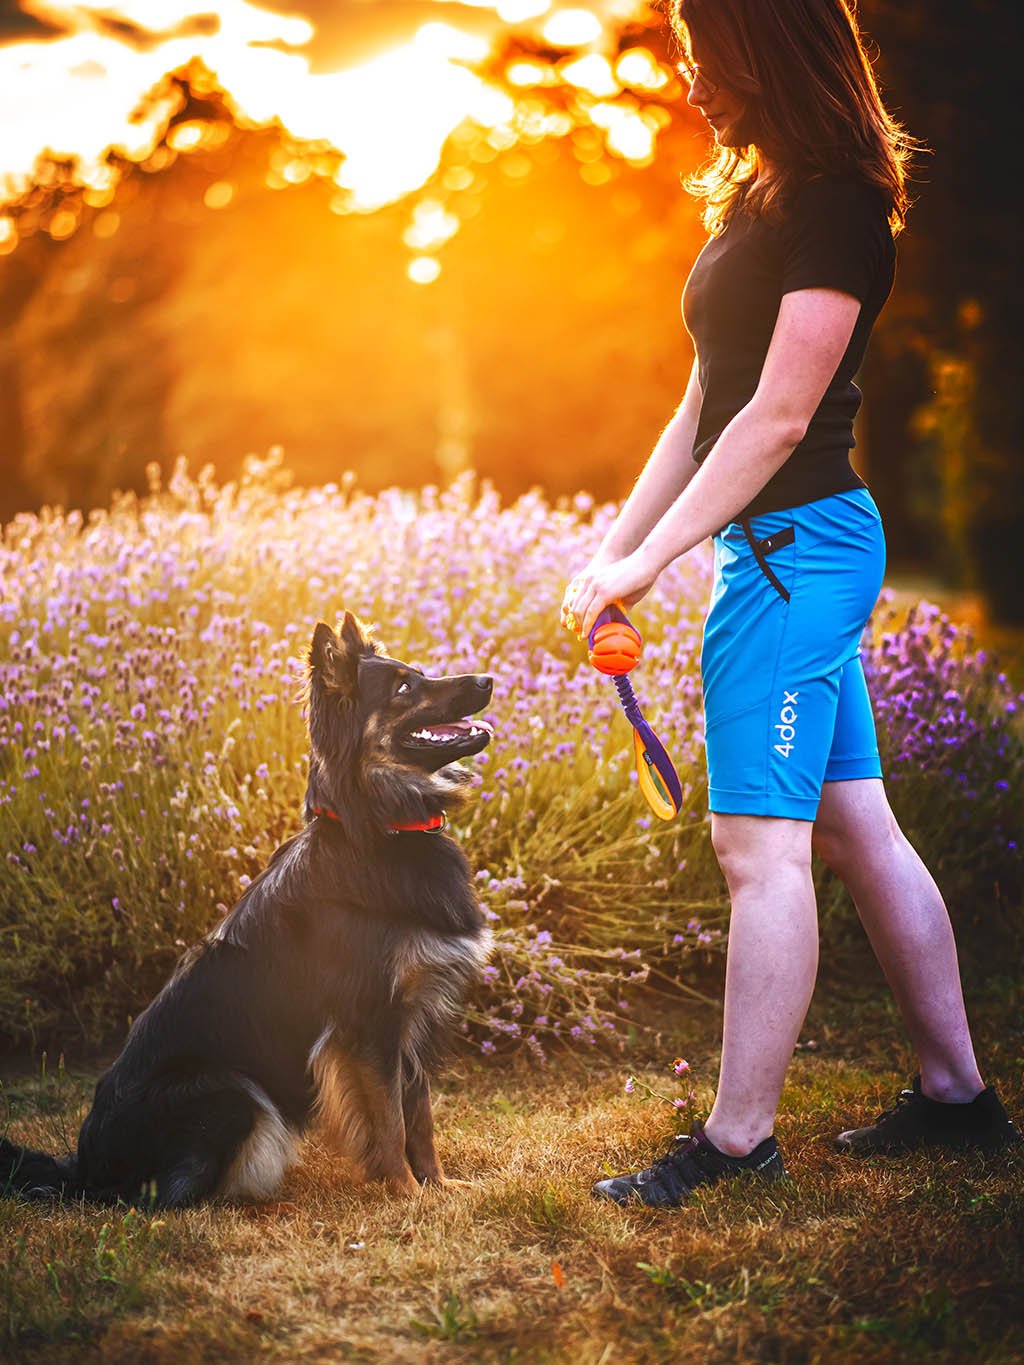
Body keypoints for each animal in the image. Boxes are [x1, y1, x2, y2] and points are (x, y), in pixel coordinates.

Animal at [0, 616, 496, 1206]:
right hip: (232, 1090)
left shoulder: (410, 1019)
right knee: (166, 1198)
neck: (383, 825)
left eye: (418, 673)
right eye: (403, 688)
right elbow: (391, 1121)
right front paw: (405, 1192)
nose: (488, 680)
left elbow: (419, 1116)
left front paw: (438, 1185)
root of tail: (84, 1169)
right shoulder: (368, 1023)